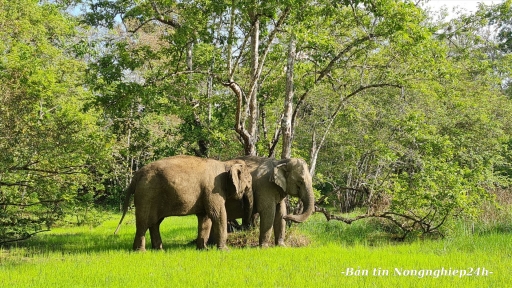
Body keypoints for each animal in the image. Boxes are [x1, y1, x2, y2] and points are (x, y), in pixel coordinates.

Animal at [115, 154, 253, 251]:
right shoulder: (213, 189)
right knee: (144, 222)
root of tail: (136, 175)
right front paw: (225, 251)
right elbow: (217, 214)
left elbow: (205, 218)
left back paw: (158, 250)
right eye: (250, 182)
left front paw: (203, 249)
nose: (246, 228)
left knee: (155, 222)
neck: (226, 163)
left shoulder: (207, 192)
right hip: (147, 193)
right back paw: (140, 251)